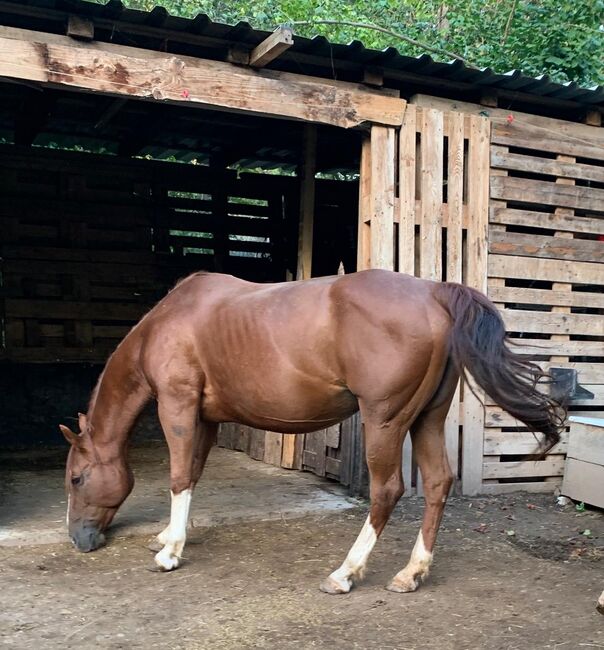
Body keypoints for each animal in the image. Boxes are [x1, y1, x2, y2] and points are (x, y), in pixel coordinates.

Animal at [60, 268, 560, 592]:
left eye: (77, 478)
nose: (78, 540)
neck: (169, 321)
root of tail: (433, 291)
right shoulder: (205, 418)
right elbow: (194, 473)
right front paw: (168, 537)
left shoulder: (178, 406)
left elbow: (180, 476)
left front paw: (170, 553)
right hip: (426, 421)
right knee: (438, 483)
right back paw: (411, 573)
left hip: (386, 421)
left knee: (386, 491)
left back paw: (346, 573)